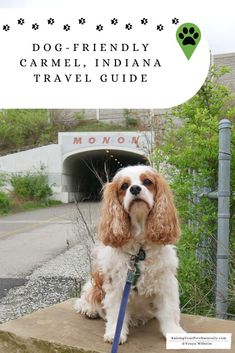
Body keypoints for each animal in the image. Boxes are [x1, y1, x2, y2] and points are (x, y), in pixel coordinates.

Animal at [75, 165, 185, 344]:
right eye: (124, 186)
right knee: (87, 295)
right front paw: (115, 333)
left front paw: (174, 332)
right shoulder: (117, 283)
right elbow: (115, 312)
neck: (140, 250)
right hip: (95, 283)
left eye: (147, 181)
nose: (135, 188)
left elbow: (169, 309)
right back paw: (89, 309)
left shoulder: (165, 281)